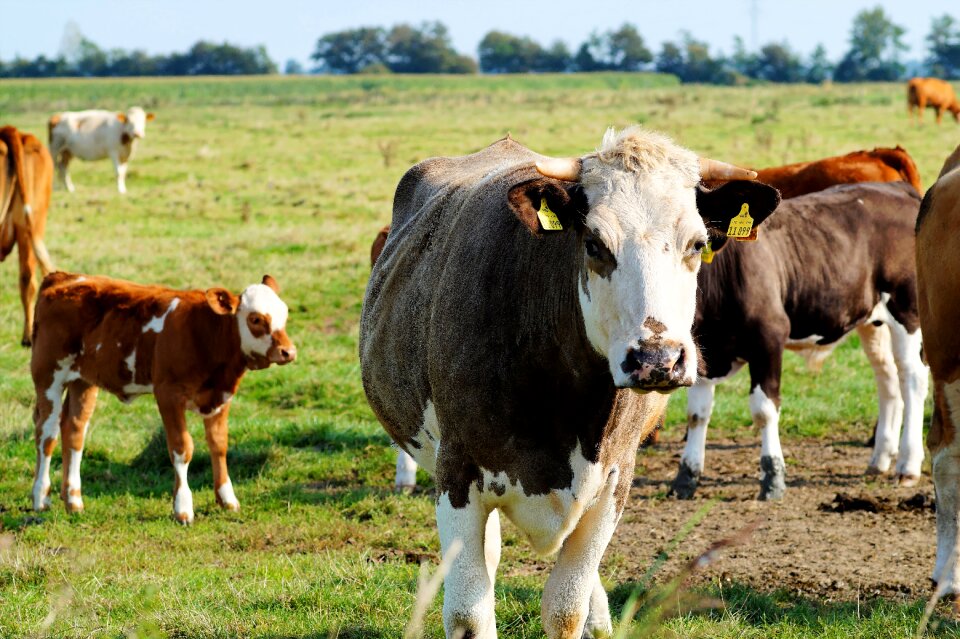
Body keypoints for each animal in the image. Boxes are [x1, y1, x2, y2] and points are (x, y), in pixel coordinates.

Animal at [31, 272, 296, 524]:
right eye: (255, 319)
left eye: (284, 313)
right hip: (48, 376)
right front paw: (183, 508)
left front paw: (227, 499)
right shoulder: (168, 395)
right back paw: (41, 497)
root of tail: (61, 277)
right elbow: (182, 448)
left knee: (74, 431)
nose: (288, 352)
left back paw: (73, 501)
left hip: (83, 382)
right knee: (47, 433)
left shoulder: (221, 396)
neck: (204, 333)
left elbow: (219, 445)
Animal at [360, 127, 780, 636]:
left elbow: (566, 606)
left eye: (697, 244)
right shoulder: (456, 476)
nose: (656, 359)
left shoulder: (613, 483)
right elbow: (468, 612)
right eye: (594, 243)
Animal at [672, 182, 928, 502]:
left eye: (697, 242)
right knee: (888, 378)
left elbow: (764, 409)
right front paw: (686, 477)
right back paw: (879, 459)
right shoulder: (704, 349)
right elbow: (697, 413)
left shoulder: (769, 337)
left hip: (907, 308)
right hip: (872, 320)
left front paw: (772, 478)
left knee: (912, 378)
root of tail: (897, 188)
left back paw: (908, 464)